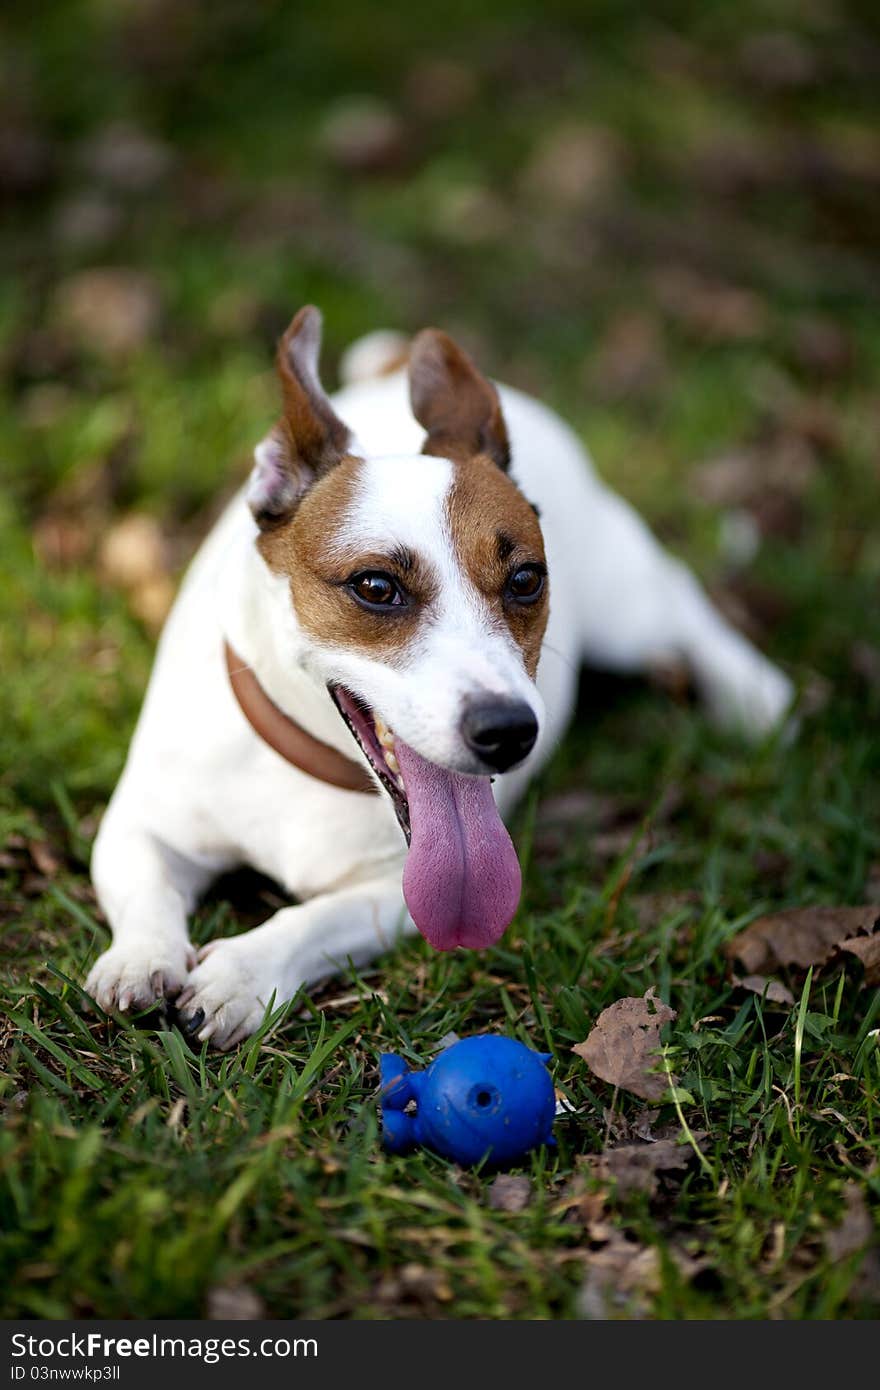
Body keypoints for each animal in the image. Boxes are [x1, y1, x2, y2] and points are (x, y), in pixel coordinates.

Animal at [85, 304, 795, 1045]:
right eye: (376, 587)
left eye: (525, 580)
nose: (509, 732)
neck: (311, 769)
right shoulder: (140, 824)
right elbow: (146, 884)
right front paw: (142, 956)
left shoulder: (395, 897)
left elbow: (311, 919)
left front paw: (244, 972)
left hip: (626, 609)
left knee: (678, 595)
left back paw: (752, 694)